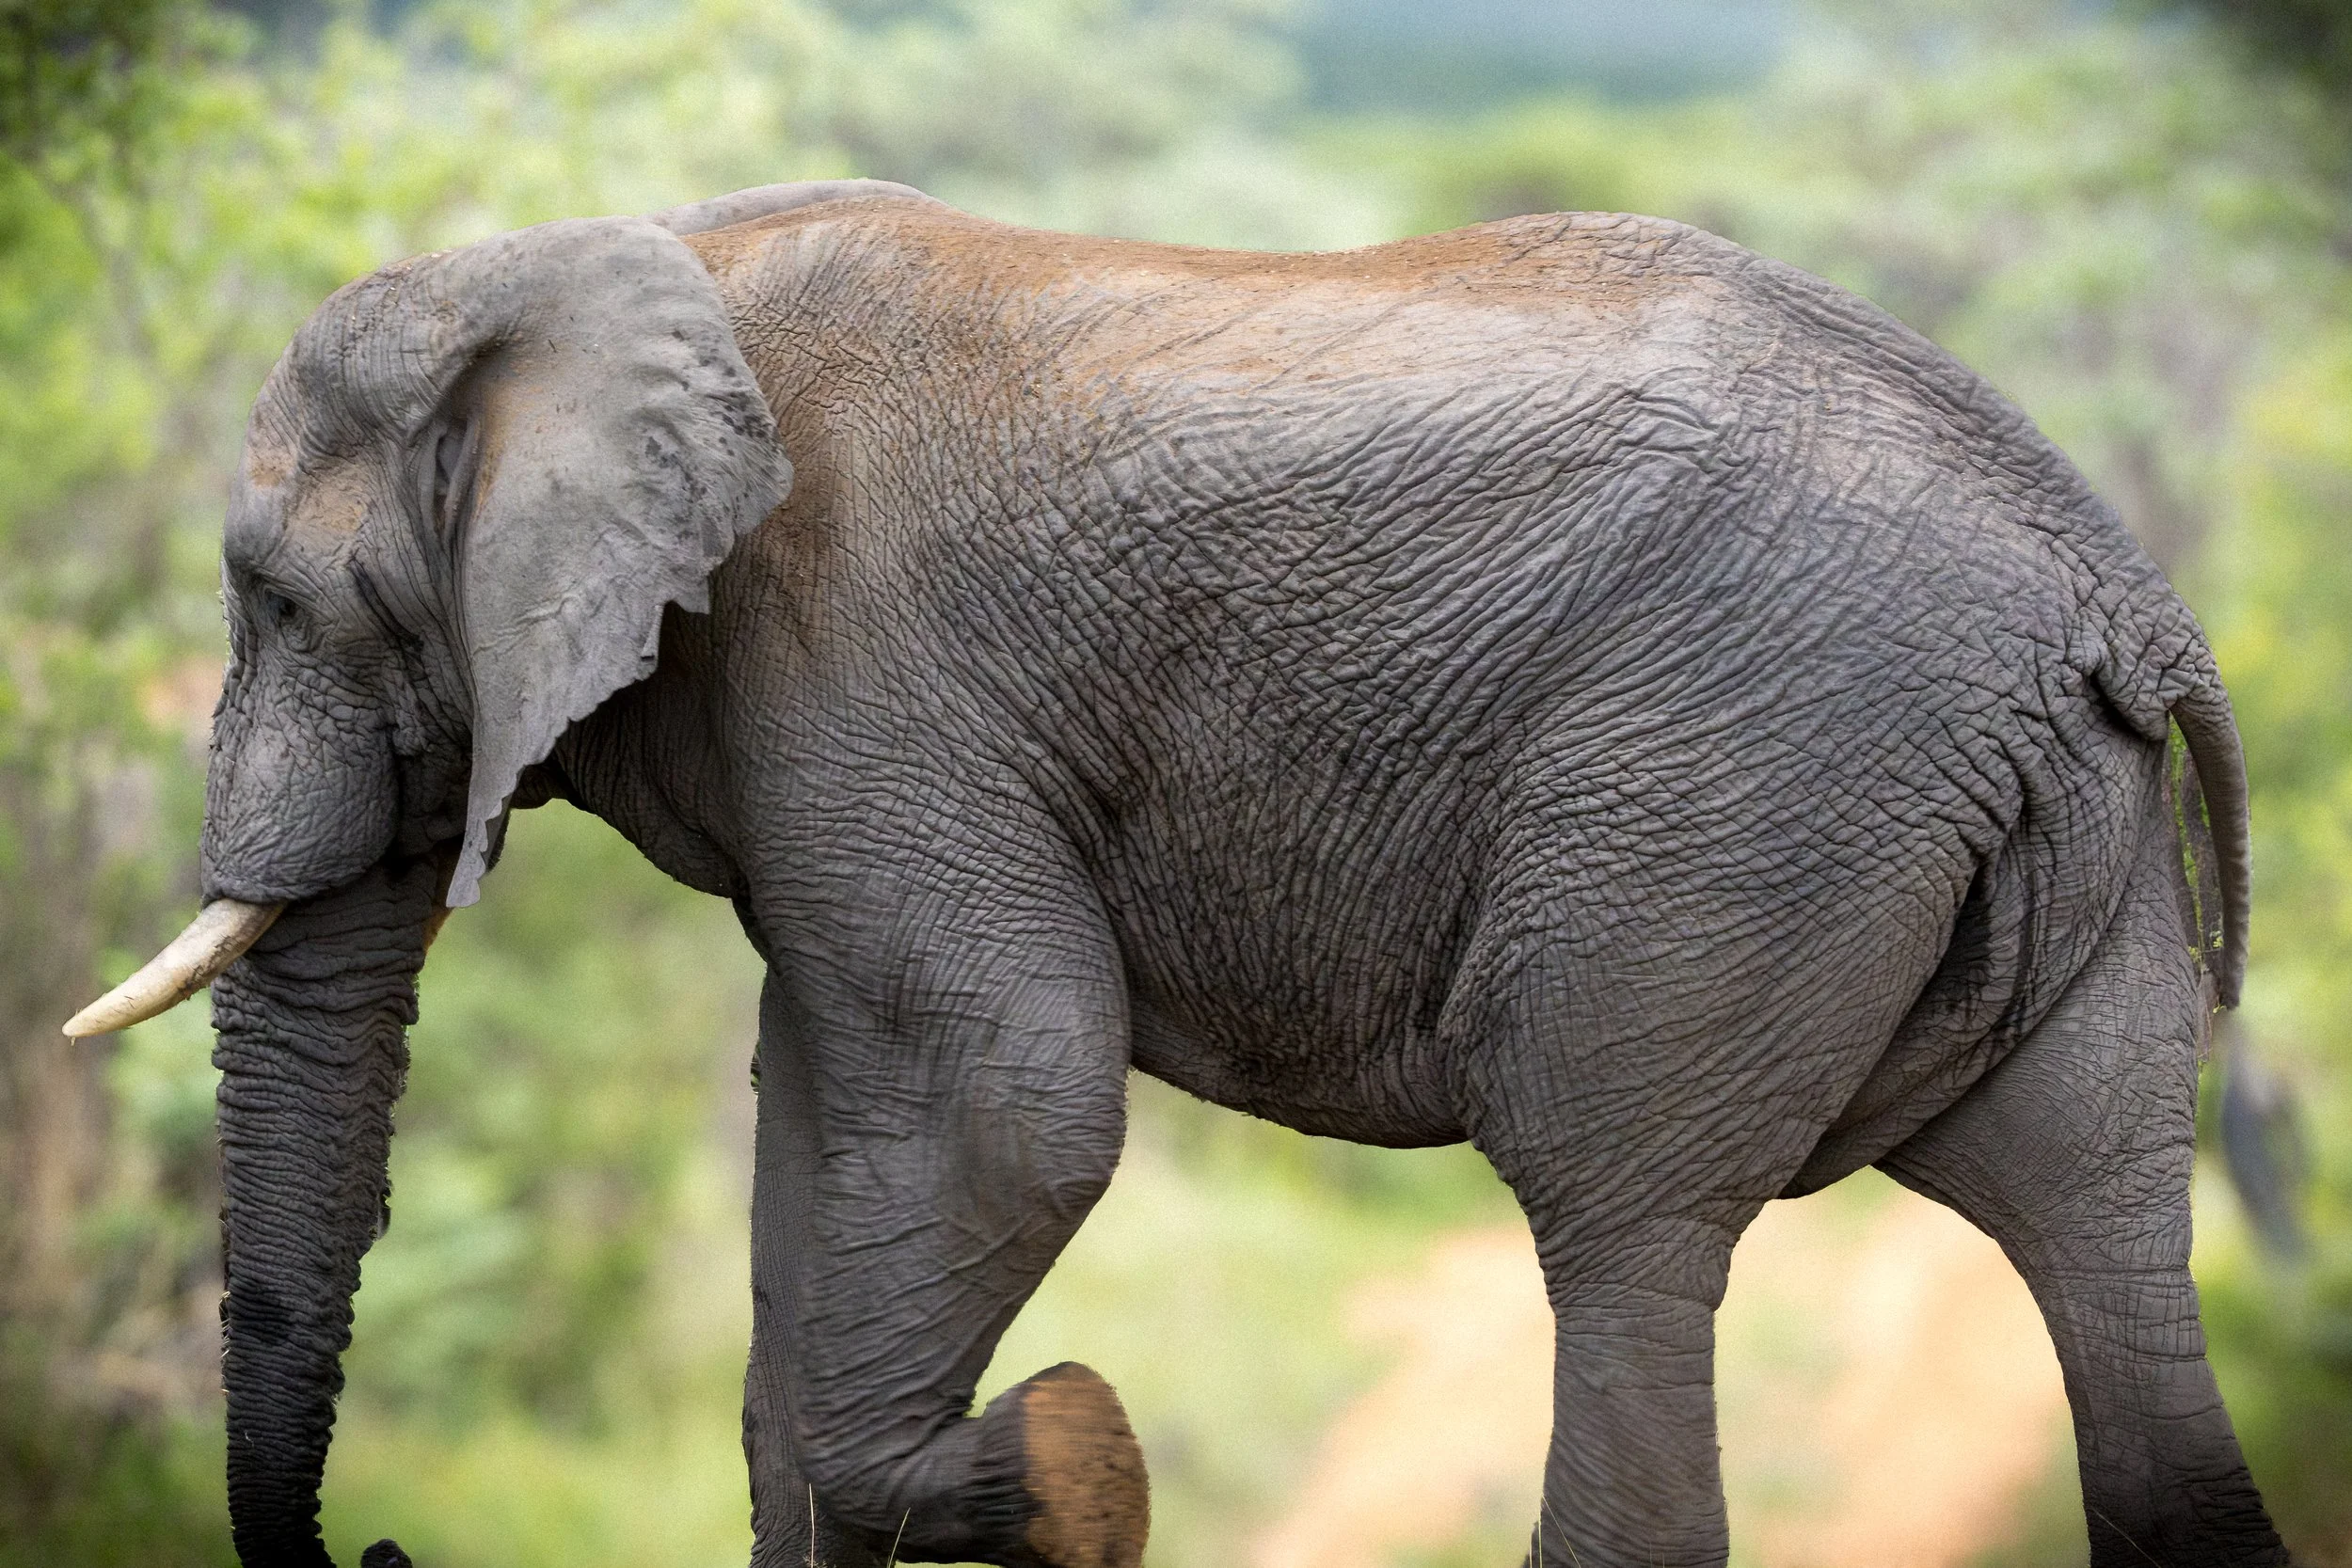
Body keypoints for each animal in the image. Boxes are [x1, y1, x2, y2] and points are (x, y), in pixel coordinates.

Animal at [68, 176, 2287, 1568]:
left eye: (272, 597)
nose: (382, 1538)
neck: (611, 257)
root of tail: (2115, 586)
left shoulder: (859, 658)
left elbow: (1016, 1094)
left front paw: (1084, 1470)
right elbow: (814, 1161)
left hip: (1736, 804)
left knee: (1618, 1221)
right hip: (2045, 854)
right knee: (2105, 1248)